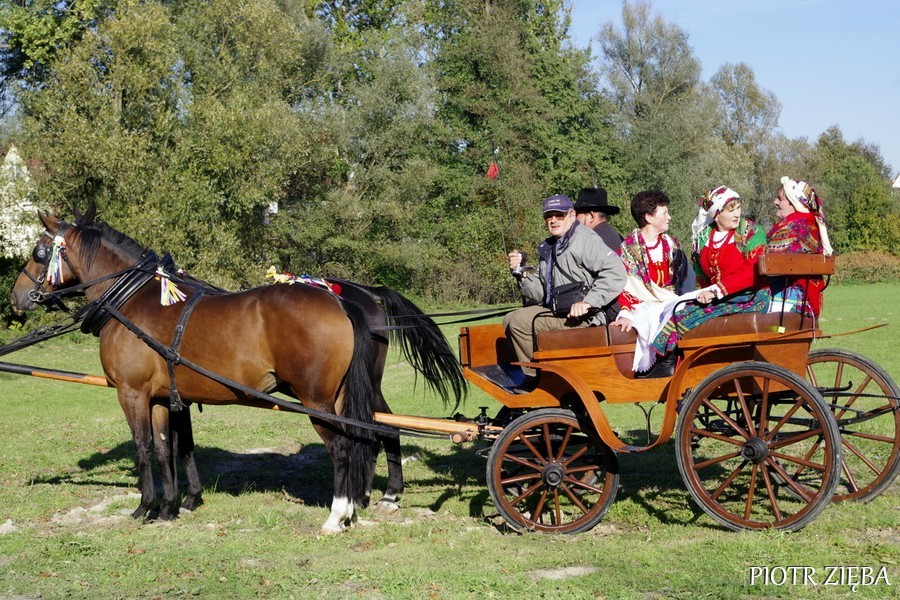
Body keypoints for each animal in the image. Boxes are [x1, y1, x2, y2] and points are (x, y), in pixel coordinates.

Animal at [10, 207, 380, 533]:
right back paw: (348, 512)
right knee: (352, 442)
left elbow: (143, 447)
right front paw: (168, 508)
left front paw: (144, 507)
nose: (17, 297)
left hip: (316, 401)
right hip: (337, 398)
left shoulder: (132, 393)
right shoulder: (160, 398)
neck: (133, 300)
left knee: (341, 449)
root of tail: (338, 303)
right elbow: (165, 449)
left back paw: (335, 516)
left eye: (39, 252)